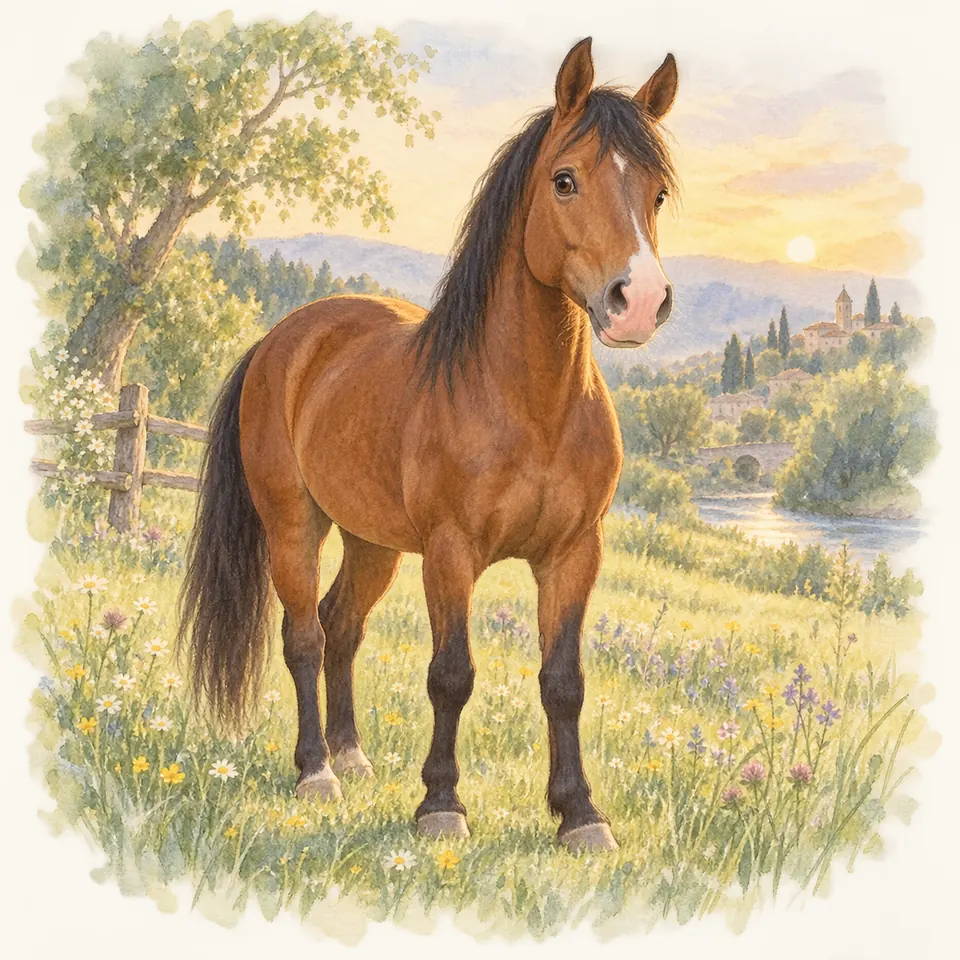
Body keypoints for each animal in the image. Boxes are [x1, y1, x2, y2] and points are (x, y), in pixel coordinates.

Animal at [179, 37, 680, 853]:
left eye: (658, 193)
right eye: (565, 180)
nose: (637, 302)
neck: (530, 405)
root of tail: (283, 339)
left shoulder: (575, 554)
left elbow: (563, 683)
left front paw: (579, 814)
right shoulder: (449, 553)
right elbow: (451, 674)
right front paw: (442, 806)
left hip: (372, 542)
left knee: (342, 625)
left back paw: (352, 756)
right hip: (293, 525)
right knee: (305, 635)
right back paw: (316, 771)